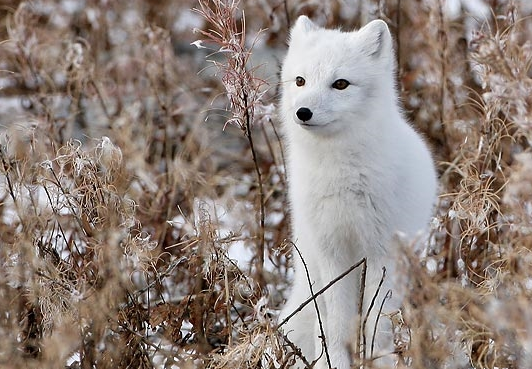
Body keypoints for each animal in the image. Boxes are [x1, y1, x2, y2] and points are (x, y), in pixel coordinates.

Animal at [278, 15, 436, 366]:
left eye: (340, 84)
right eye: (300, 81)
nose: (303, 113)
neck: (341, 175)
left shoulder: (381, 252)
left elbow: (375, 320)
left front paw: (374, 358)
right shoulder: (332, 251)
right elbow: (338, 322)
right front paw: (335, 362)